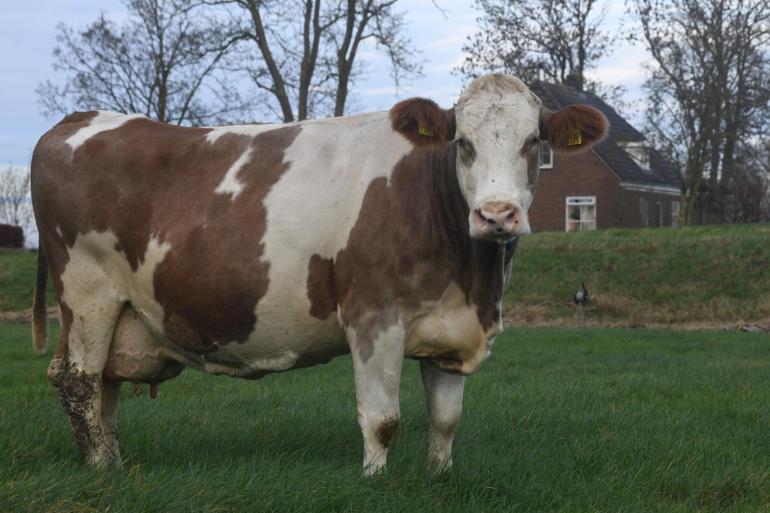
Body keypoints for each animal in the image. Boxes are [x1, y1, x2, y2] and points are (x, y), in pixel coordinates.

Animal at [30, 74, 607, 474]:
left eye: (534, 143)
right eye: (462, 143)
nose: (496, 214)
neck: (473, 278)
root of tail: (79, 119)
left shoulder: (451, 326)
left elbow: (446, 420)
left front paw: (439, 476)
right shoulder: (374, 316)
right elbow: (382, 418)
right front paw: (374, 481)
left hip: (117, 312)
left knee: (103, 385)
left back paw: (112, 463)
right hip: (87, 293)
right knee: (80, 380)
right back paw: (102, 471)